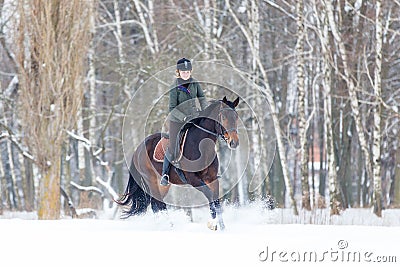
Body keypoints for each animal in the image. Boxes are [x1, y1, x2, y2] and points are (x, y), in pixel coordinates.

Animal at [116, 96, 241, 230]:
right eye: (223, 117)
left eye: (236, 117)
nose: (234, 142)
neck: (202, 146)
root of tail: (138, 149)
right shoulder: (193, 179)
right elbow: (209, 195)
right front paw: (212, 223)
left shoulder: (211, 178)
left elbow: (217, 201)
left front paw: (222, 227)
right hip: (151, 181)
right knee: (157, 205)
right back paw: (168, 226)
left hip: (163, 185)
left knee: (157, 204)